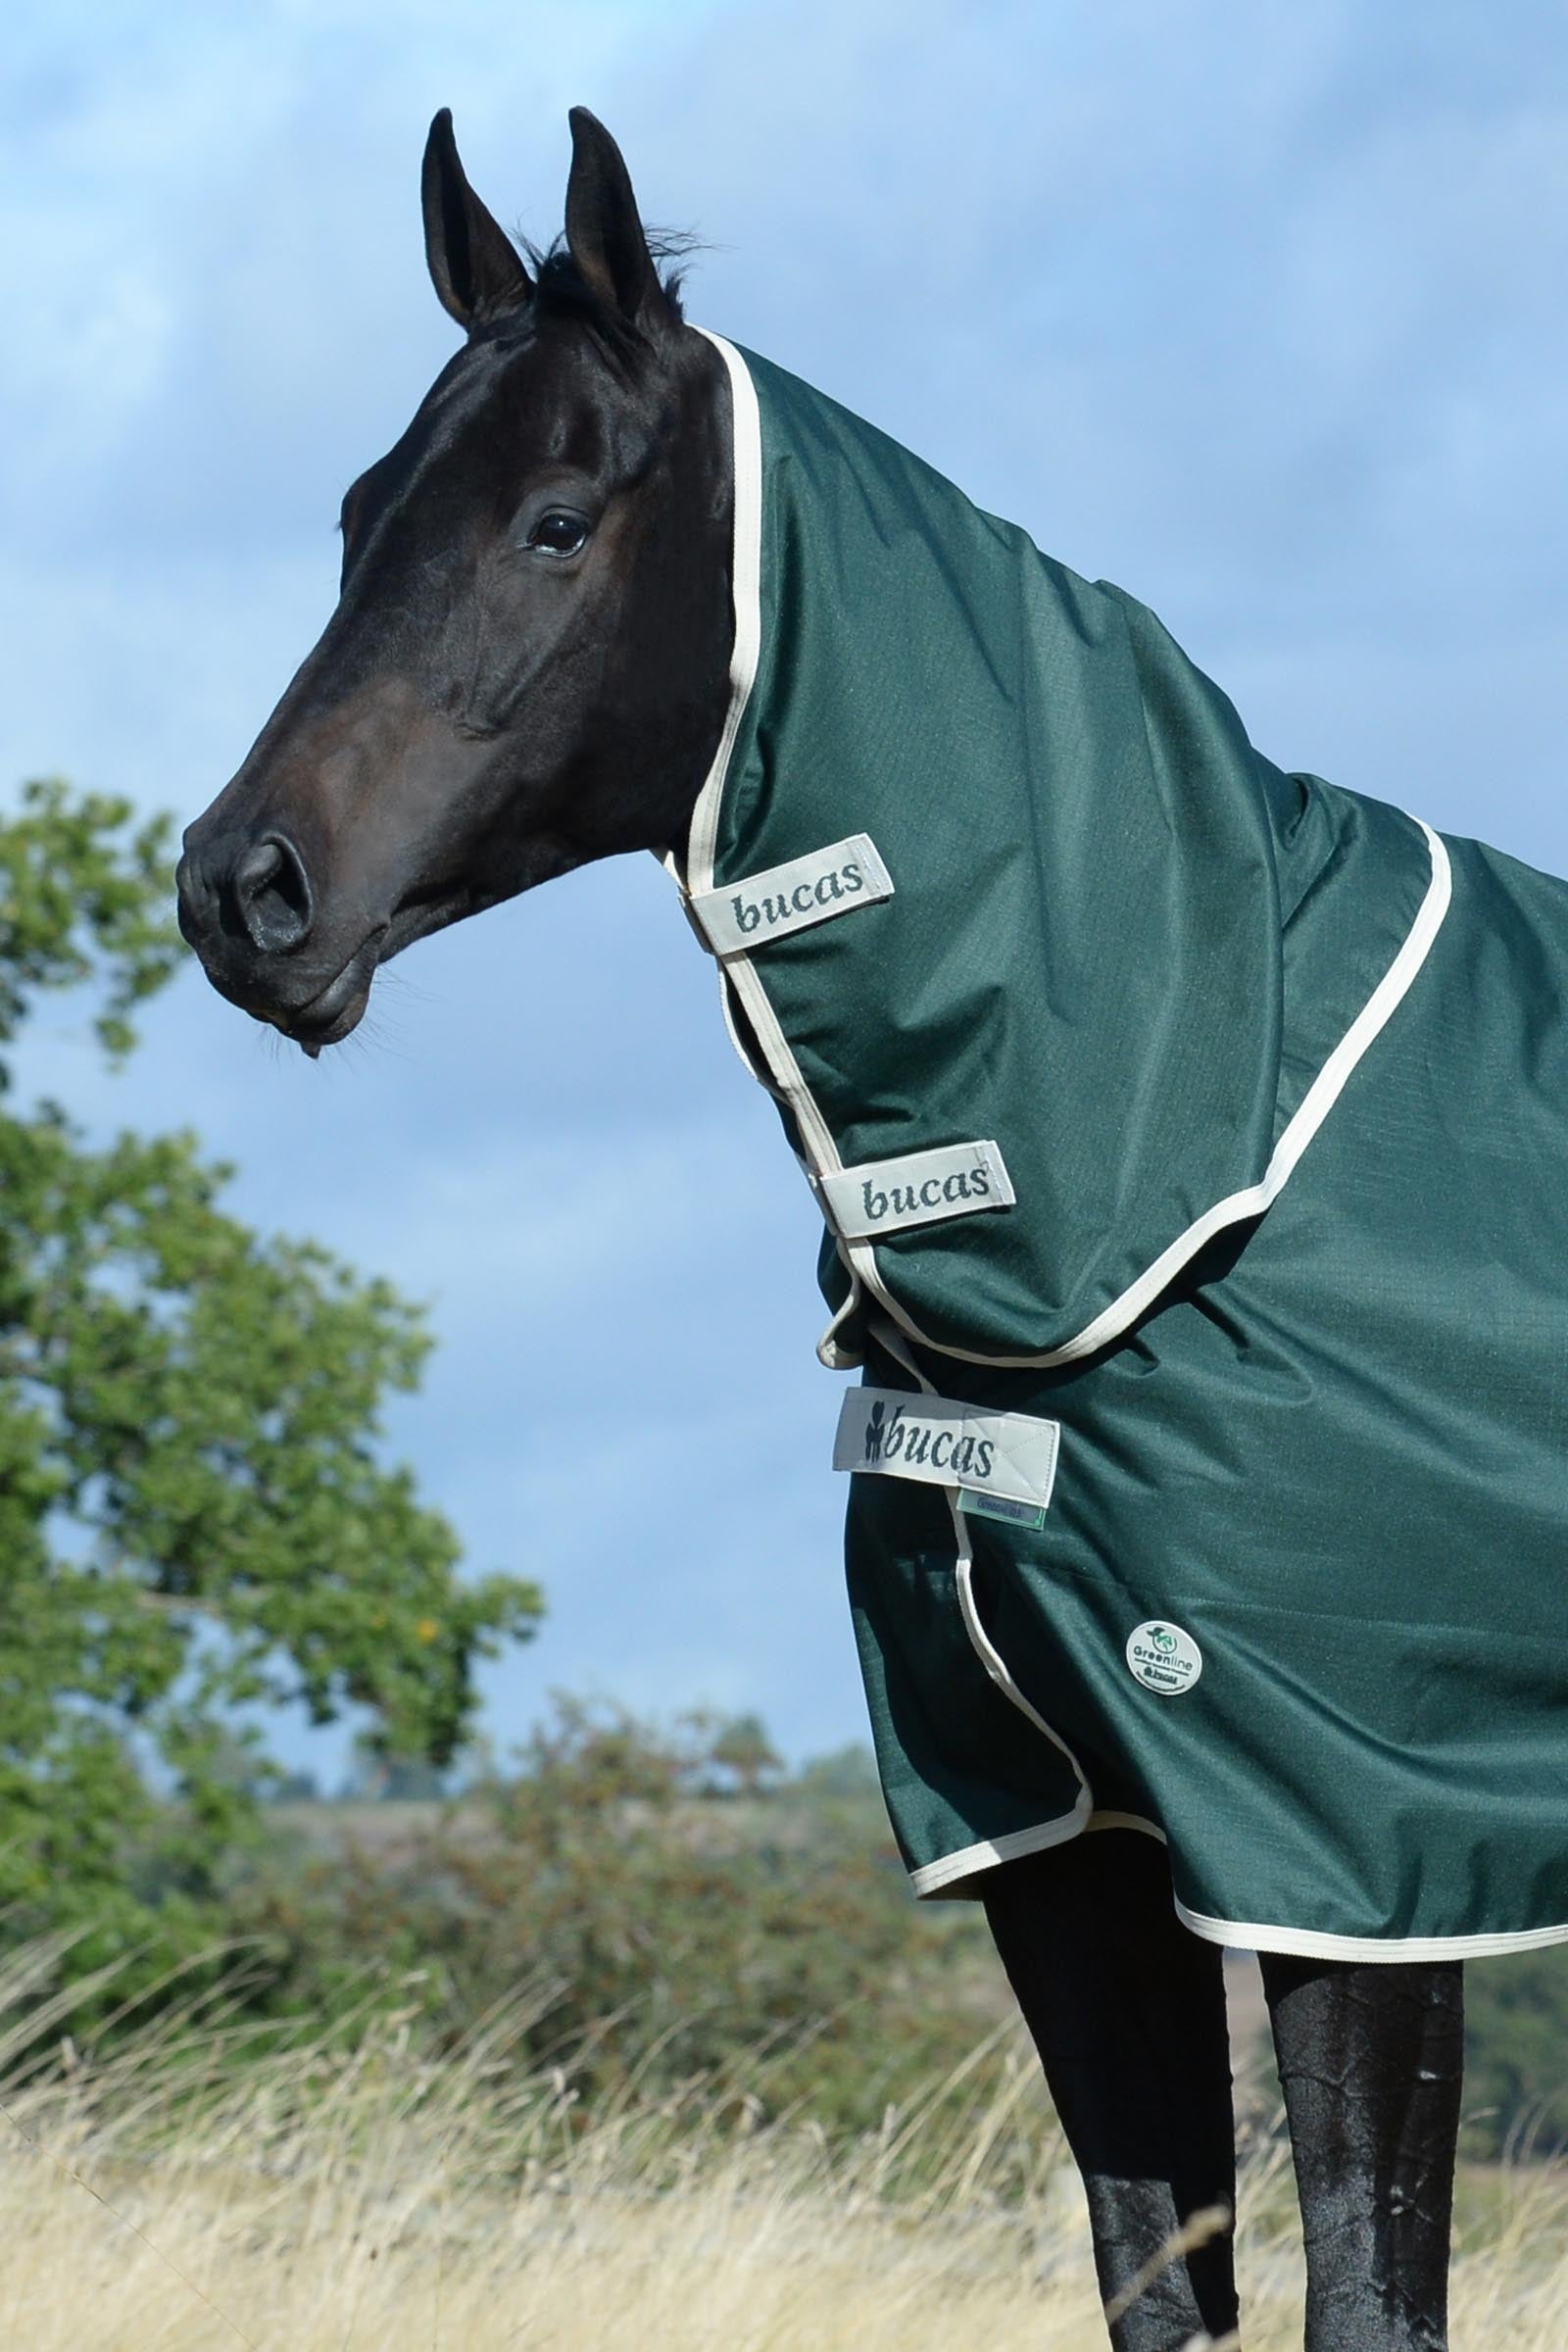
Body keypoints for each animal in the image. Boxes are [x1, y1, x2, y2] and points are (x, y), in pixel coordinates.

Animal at [179, 107, 1529, 2352]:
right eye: (362, 509)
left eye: (555, 522)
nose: (242, 891)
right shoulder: (1051, 1848)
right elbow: (1157, 2282)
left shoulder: (1362, 1861)